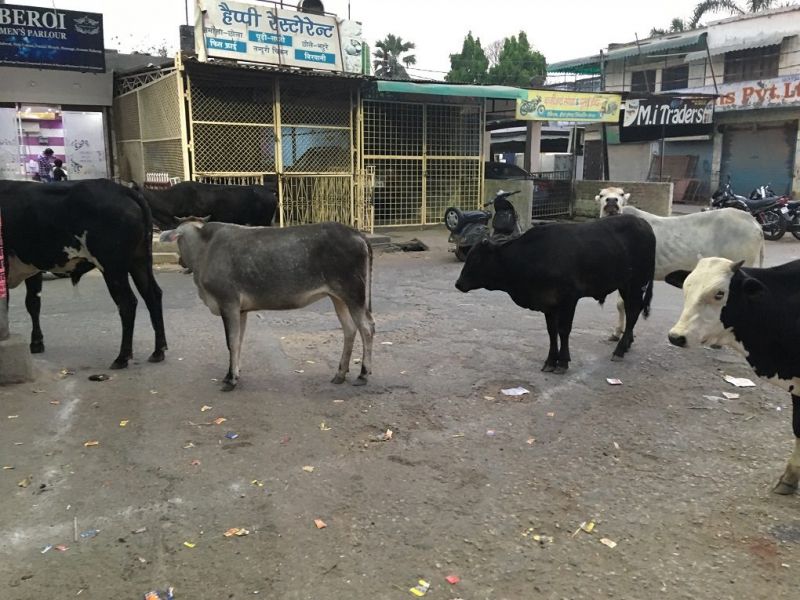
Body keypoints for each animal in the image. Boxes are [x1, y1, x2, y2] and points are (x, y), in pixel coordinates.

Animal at [0, 179, 167, 369]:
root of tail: (123, 190)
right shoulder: (31, 267)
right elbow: (33, 303)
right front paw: (36, 343)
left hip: (112, 267)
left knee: (127, 303)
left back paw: (122, 357)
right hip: (139, 260)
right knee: (152, 295)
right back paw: (158, 351)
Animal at [161, 219, 374, 391]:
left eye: (178, 241)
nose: (180, 262)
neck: (204, 250)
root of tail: (357, 234)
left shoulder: (228, 302)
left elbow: (231, 341)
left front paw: (231, 379)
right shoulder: (241, 309)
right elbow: (238, 341)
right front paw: (235, 373)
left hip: (354, 293)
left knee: (366, 327)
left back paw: (363, 374)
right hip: (338, 297)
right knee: (349, 328)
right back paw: (340, 373)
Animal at [454, 214, 656, 373]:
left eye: (476, 259)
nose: (458, 283)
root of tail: (643, 223)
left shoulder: (569, 299)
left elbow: (563, 330)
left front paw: (563, 362)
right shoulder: (549, 304)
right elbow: (552, 332)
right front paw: (551, 360)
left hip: (636, 283)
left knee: (632, 312)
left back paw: (620, 350)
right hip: (625, 285)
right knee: (632, 310)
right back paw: (626, 344)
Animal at [597, 187, 764, 340]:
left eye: (621, 194)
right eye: (602, 194)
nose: (611, 201)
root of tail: (754, 222)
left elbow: (622, 305)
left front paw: (618, 333)